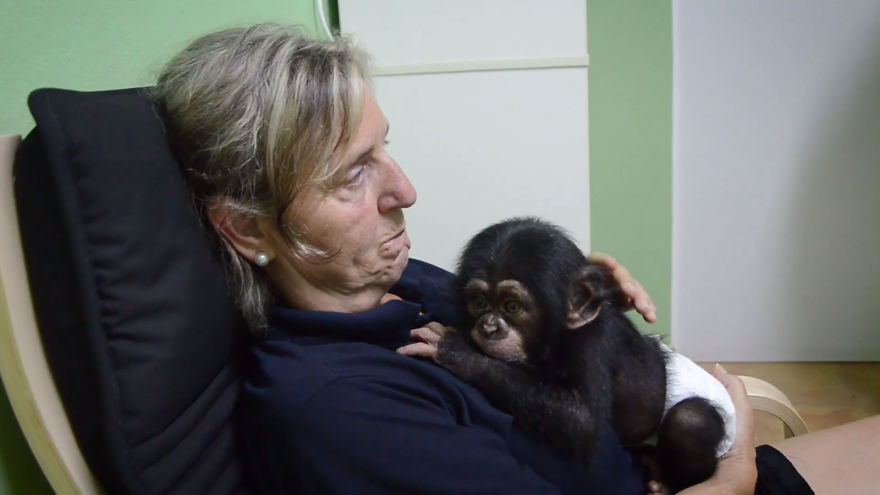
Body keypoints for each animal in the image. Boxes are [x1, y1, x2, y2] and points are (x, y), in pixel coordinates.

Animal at [404, 218, 735, 492]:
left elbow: (583, 421)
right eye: (479, 302)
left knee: (691, 421)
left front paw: (455, 350)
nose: (489, 326)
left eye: (512, 306)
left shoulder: (591, 345)